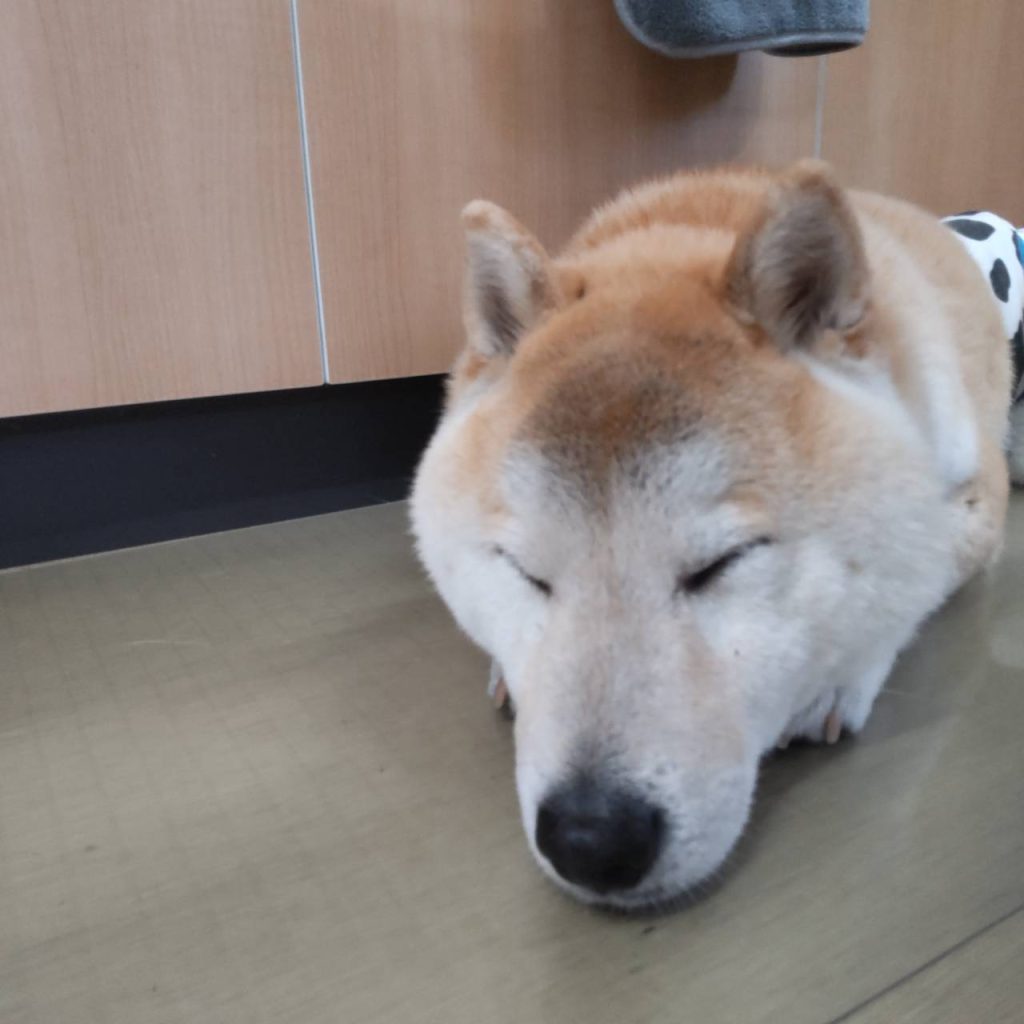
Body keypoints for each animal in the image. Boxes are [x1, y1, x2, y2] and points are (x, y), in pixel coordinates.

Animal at [410, 161, 1015, 911]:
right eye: (527, 573)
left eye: (720, 564)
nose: (590, 838)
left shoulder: (976, 493)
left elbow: (919, 577)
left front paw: (836, 679)